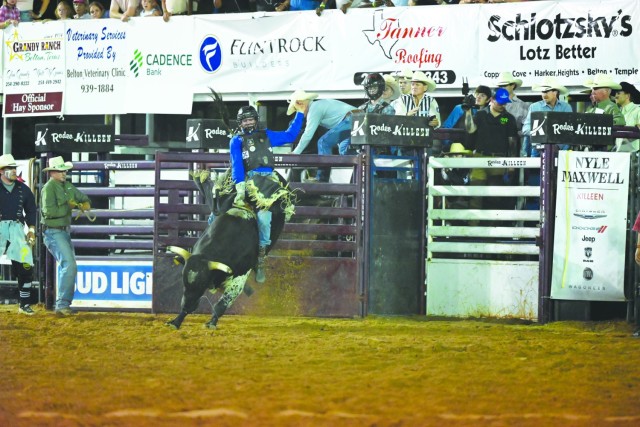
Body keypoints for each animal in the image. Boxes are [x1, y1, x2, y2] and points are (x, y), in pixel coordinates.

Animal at [165, 170, 288, 330]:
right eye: (184, 280)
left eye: (203, 283)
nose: (186, 306)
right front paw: (176, 321)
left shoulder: (240, 277)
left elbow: (222, 304)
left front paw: (211, 323)